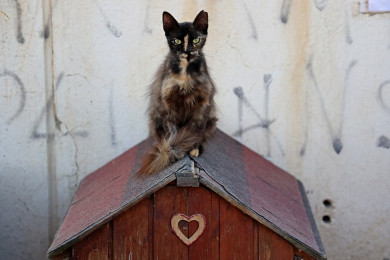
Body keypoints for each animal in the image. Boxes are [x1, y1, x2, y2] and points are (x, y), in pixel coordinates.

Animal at [136, 11, 216, 176]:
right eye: (177, 41)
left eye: (196, 40)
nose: (187, 51)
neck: (185, 75)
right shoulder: (167, 105)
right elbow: (172, 130)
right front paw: (173, 150)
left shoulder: (203, 104)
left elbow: (196, 129)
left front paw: (192, 148)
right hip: (155, 117)